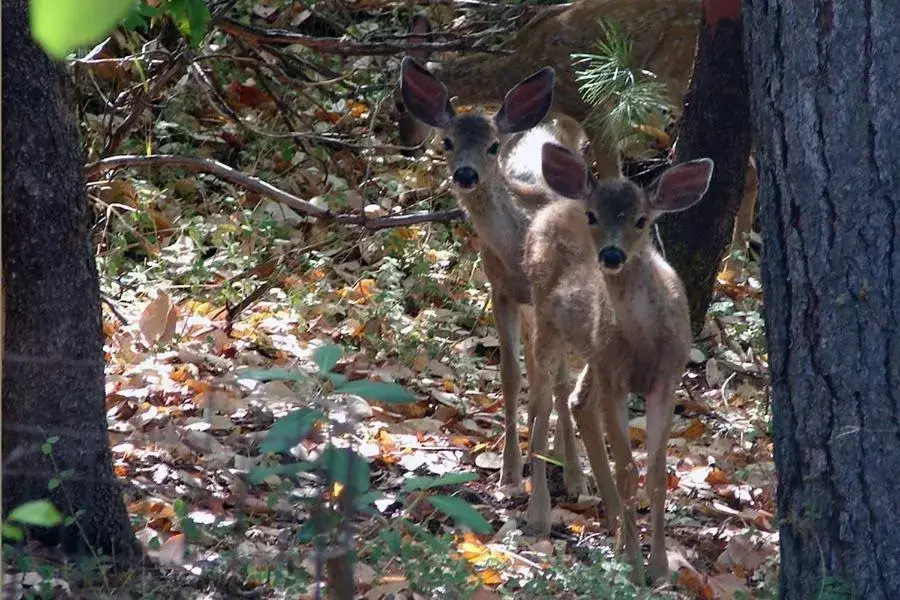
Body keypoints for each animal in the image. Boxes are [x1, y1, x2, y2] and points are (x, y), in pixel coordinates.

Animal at [398, 57, 616, 536]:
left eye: (493, 146)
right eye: (447, 141)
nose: (466, 174)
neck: (517, 243)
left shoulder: (543, 298)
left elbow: (547, 386)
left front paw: (548, 489)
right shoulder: (499, 290)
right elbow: (512, 376)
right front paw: (509, 474)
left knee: (558, 380)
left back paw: (574, 472)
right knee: (540, 372)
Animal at [524, 141, 712, 580]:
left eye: (642, 220)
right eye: (594, 216)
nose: (611, 254)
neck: (645, 343)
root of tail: (553, 206)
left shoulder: (668, 379)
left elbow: (657, 474)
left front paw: (659, 565)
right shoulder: (616, 380)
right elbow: (628, 470)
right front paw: (636, 567)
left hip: (593, 351)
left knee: (576, 400)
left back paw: (610, 520)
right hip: (546, 320)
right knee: (541, 404)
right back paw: (540, 511)